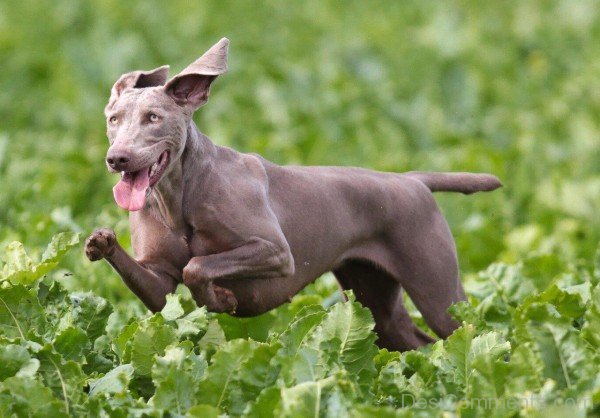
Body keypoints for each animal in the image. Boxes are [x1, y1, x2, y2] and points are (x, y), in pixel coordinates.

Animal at [86, 38, 502, 350]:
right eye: (113, 119)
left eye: (153, 118)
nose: (117, 158)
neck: (179, 195)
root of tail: (411, 180)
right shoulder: (159, 281)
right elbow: (165, 280)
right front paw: (100, 241)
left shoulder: (275, 251)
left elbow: (198, 266)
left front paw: (222, 299)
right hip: (375, 300)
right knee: (418, 344)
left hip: (439, 293)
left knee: (473, 334)